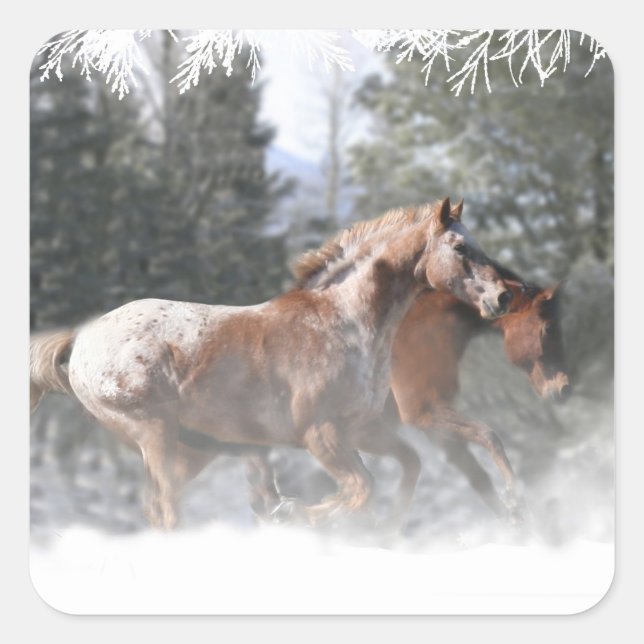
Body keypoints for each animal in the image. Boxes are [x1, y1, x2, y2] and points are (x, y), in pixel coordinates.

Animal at [30, 197, 512, 530]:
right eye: (460, 247)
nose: (503, 296)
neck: (344, 321)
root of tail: (82, 339)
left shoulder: (361, 430)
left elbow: (405, 468)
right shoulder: (320, 433)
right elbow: (360, 488)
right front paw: (292, 513)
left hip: (191, 445)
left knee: (161, 509)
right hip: (156, 435)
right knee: (166, 510)